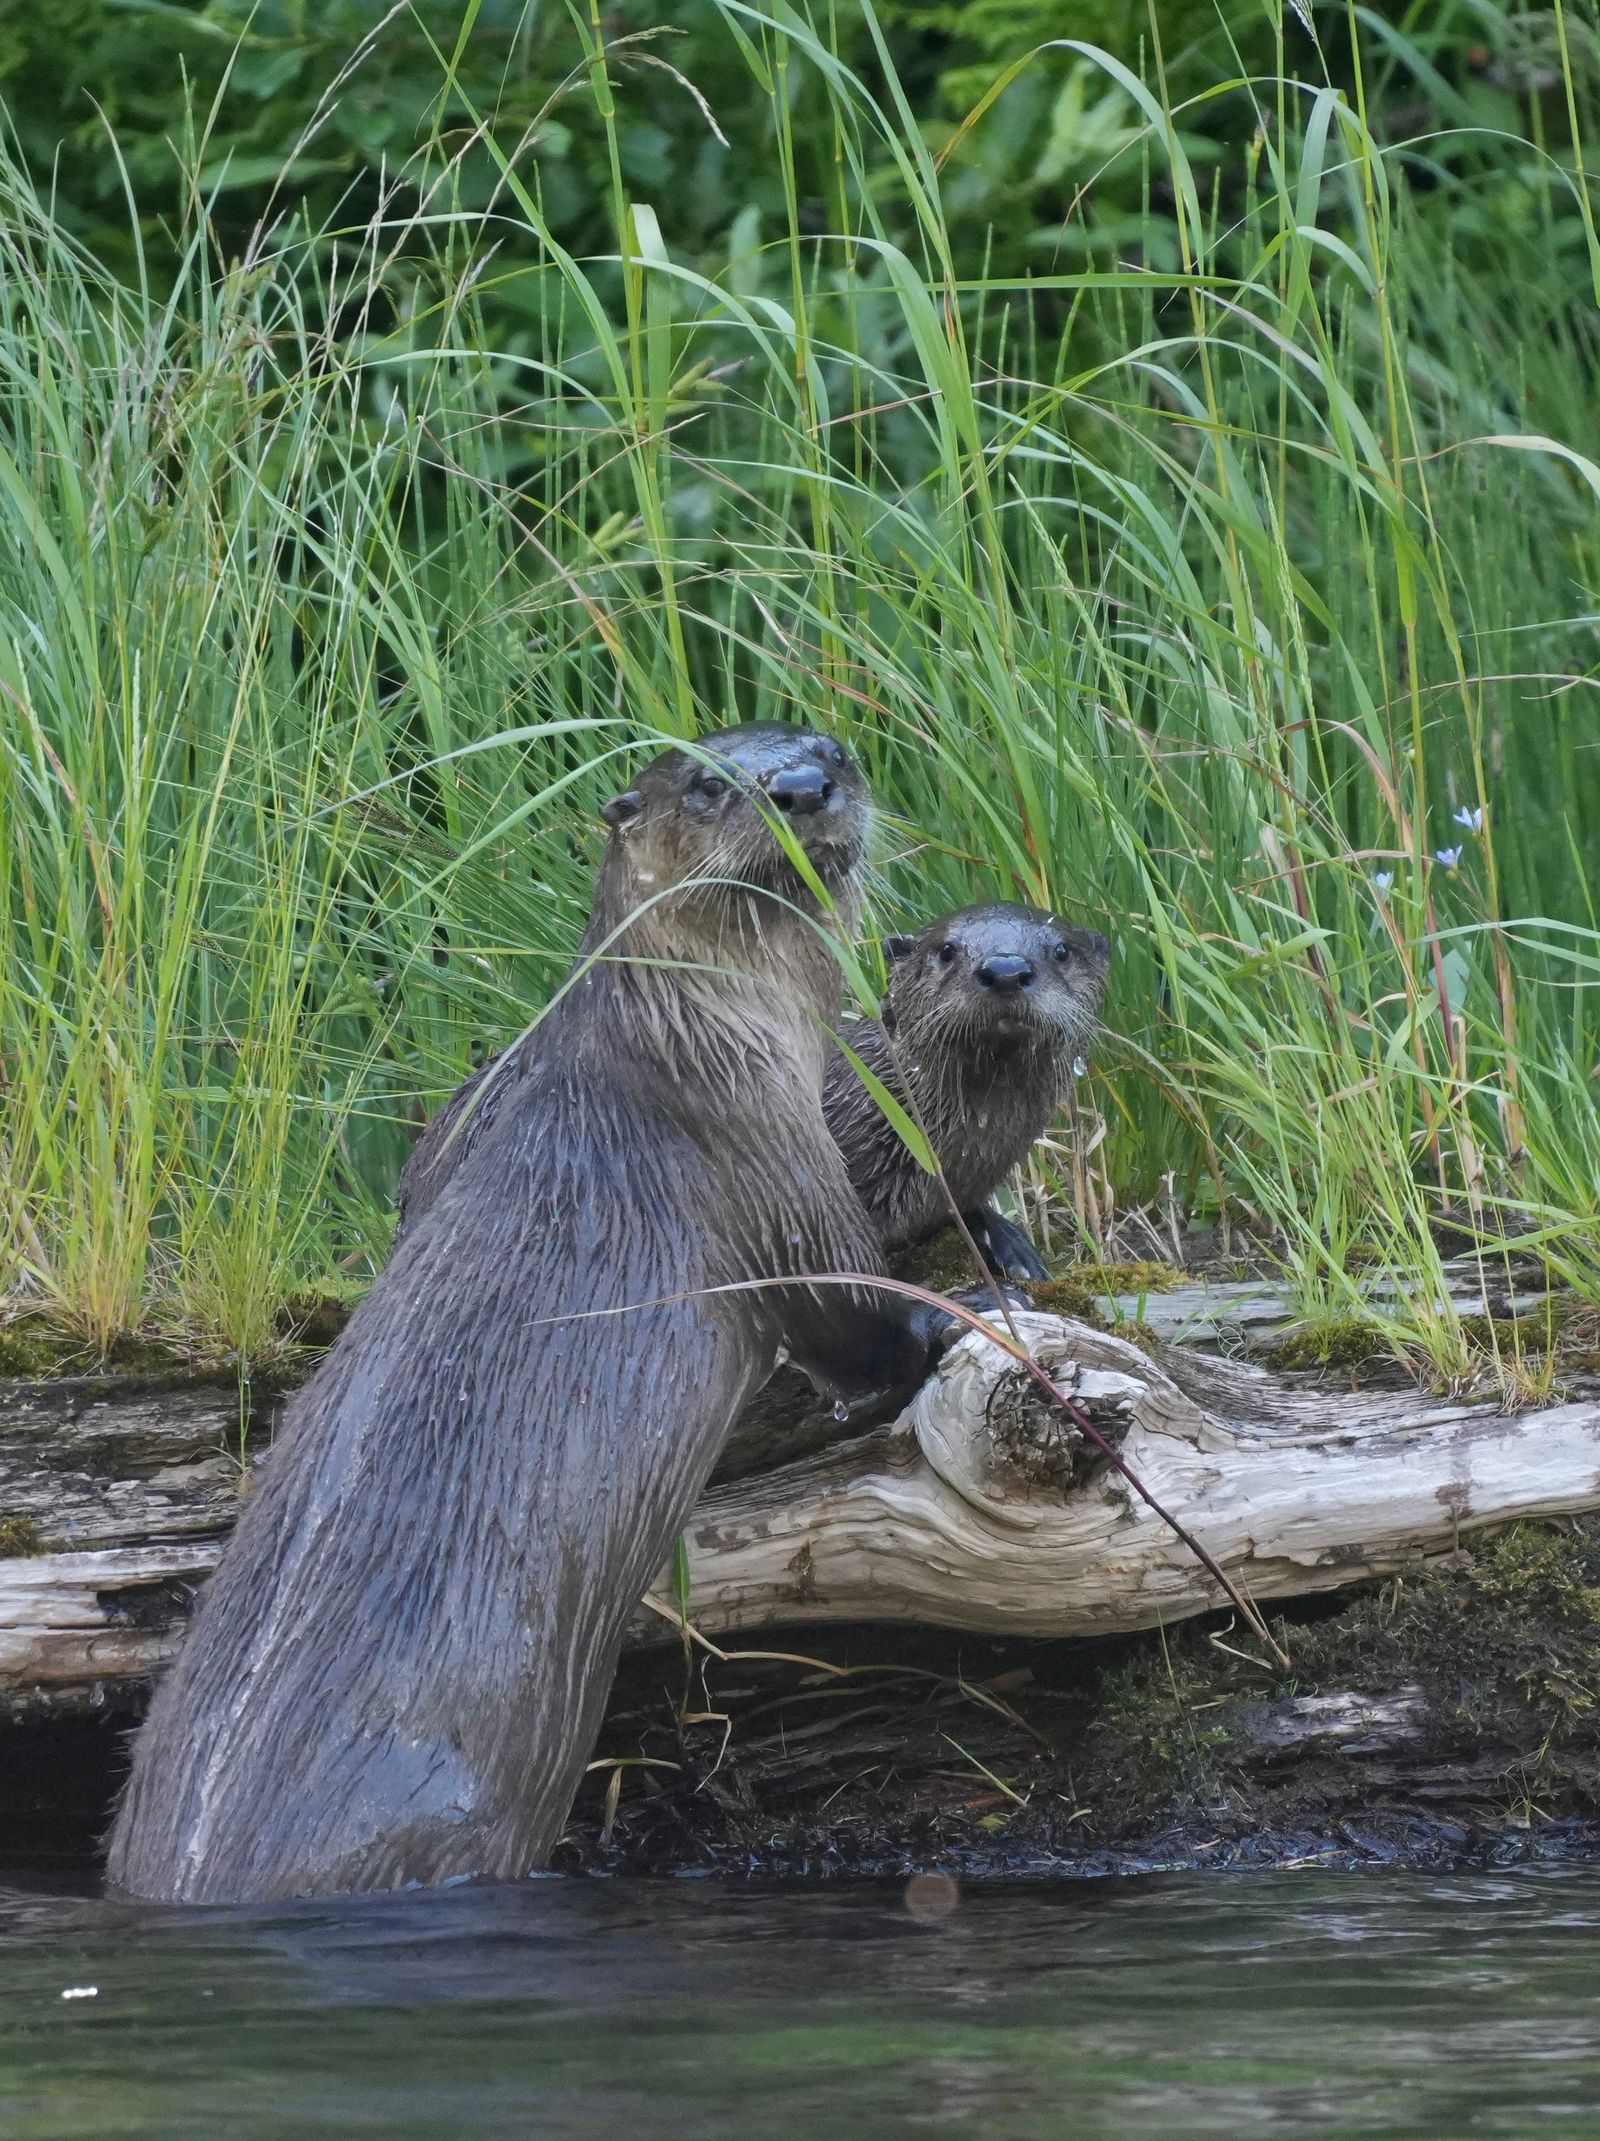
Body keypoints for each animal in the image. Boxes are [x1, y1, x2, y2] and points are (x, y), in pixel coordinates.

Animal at [107, 724, 951, 1905]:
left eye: (825, 744)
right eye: (706, 784)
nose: (802, 784)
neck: (679, 1030)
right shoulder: (761, 1152)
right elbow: (853, 1308)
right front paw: (966, 1315)